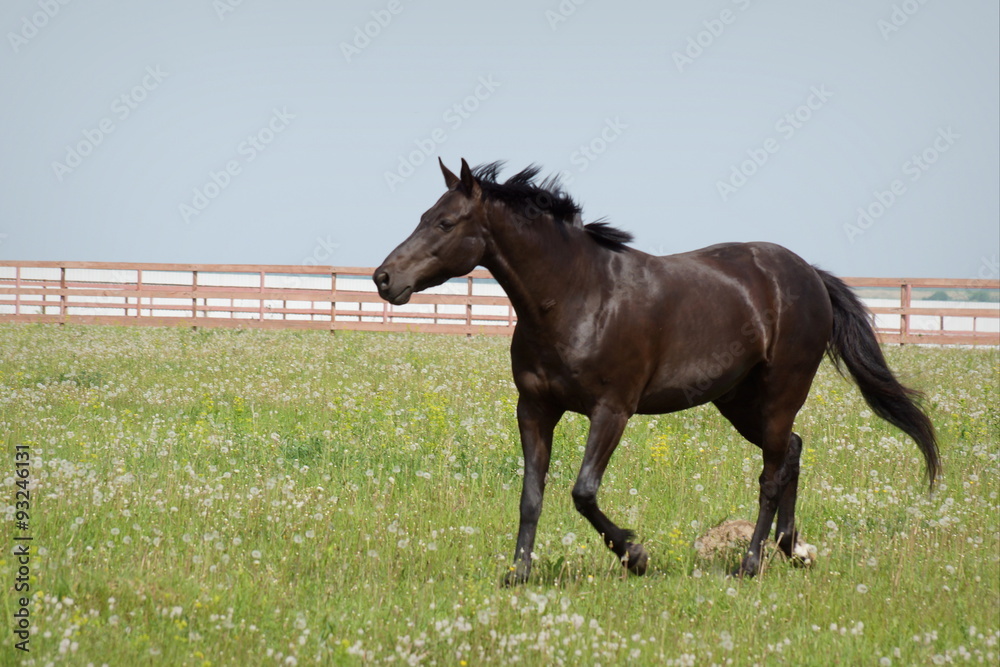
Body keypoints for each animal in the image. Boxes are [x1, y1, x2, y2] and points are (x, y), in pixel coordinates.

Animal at [374, 158, 939, 585]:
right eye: (425, 215)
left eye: (445, 223)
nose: (384, 278)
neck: (578, 297)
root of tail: (810, 276)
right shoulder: (534, 408)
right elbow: (531, 495)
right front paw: (518, 574)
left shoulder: (612, 411)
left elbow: (582, 491)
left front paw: (636, 555)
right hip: (738, 401)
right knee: (793, 453)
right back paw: (792, 549)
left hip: (781, 393)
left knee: (772, 474)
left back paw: (751, 563)